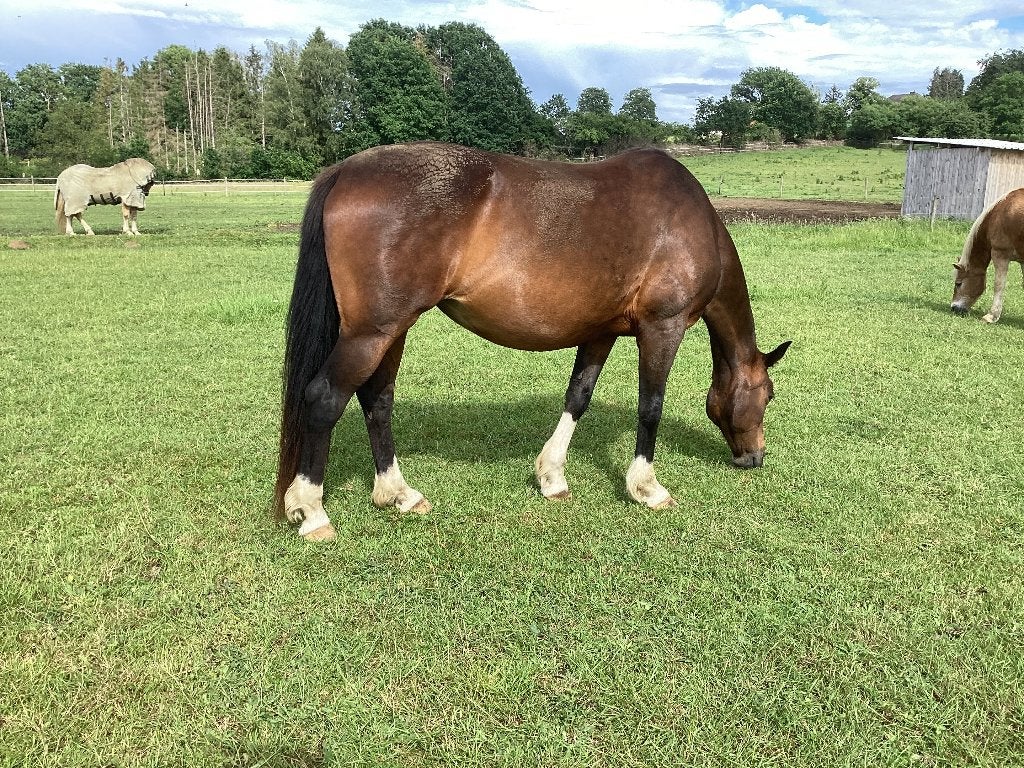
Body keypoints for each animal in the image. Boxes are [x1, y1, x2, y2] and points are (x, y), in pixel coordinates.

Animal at [275, 142, 791, 541]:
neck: (688, 221)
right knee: (325, 399)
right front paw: (647, 487)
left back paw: (398, 494)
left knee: (377, 400)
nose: (755, 458)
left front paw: (552, 477)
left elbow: (578, 397)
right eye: (767, 395)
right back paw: (313, 511)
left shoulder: (600, 332)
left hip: (390, 331)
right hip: (372, 332)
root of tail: (346, 170)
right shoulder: (663, 327)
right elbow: (651, 406)